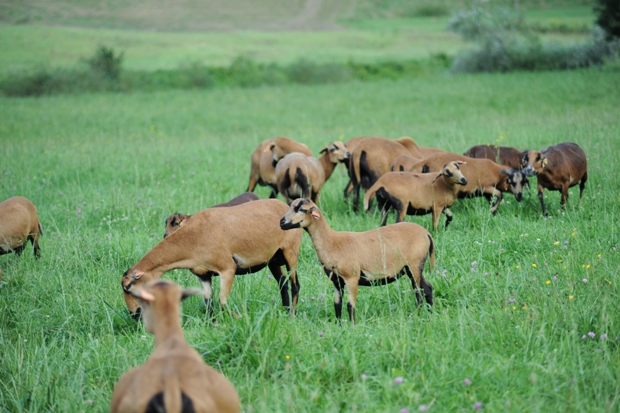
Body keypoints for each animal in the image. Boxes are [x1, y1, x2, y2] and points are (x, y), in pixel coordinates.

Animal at [120, 200, 302, 318]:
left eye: (128, 287)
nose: (134, 314)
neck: (191, 239)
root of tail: (284, 205)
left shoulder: (228, 268)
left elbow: (222, 302)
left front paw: (238, 319)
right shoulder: (203, 275)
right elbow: (209, 304)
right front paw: (213, 325)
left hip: (290, 252)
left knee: (295, 285)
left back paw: (292, 316)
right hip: (273, 259)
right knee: (282, 283)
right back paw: (285, 311)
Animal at [278, 198, 434, 324]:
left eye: (302, 209)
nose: (282, 223)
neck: (332, 242)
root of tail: (426, 233)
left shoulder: (351, 277)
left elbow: (350, 305)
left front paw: (352, 326)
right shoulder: (337, 280)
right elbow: (337, 304)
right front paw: (339, 326)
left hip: (414, 265)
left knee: (420, 292)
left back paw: (416, 316)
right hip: (412, 268)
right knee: (428, 288)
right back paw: (430, 314)